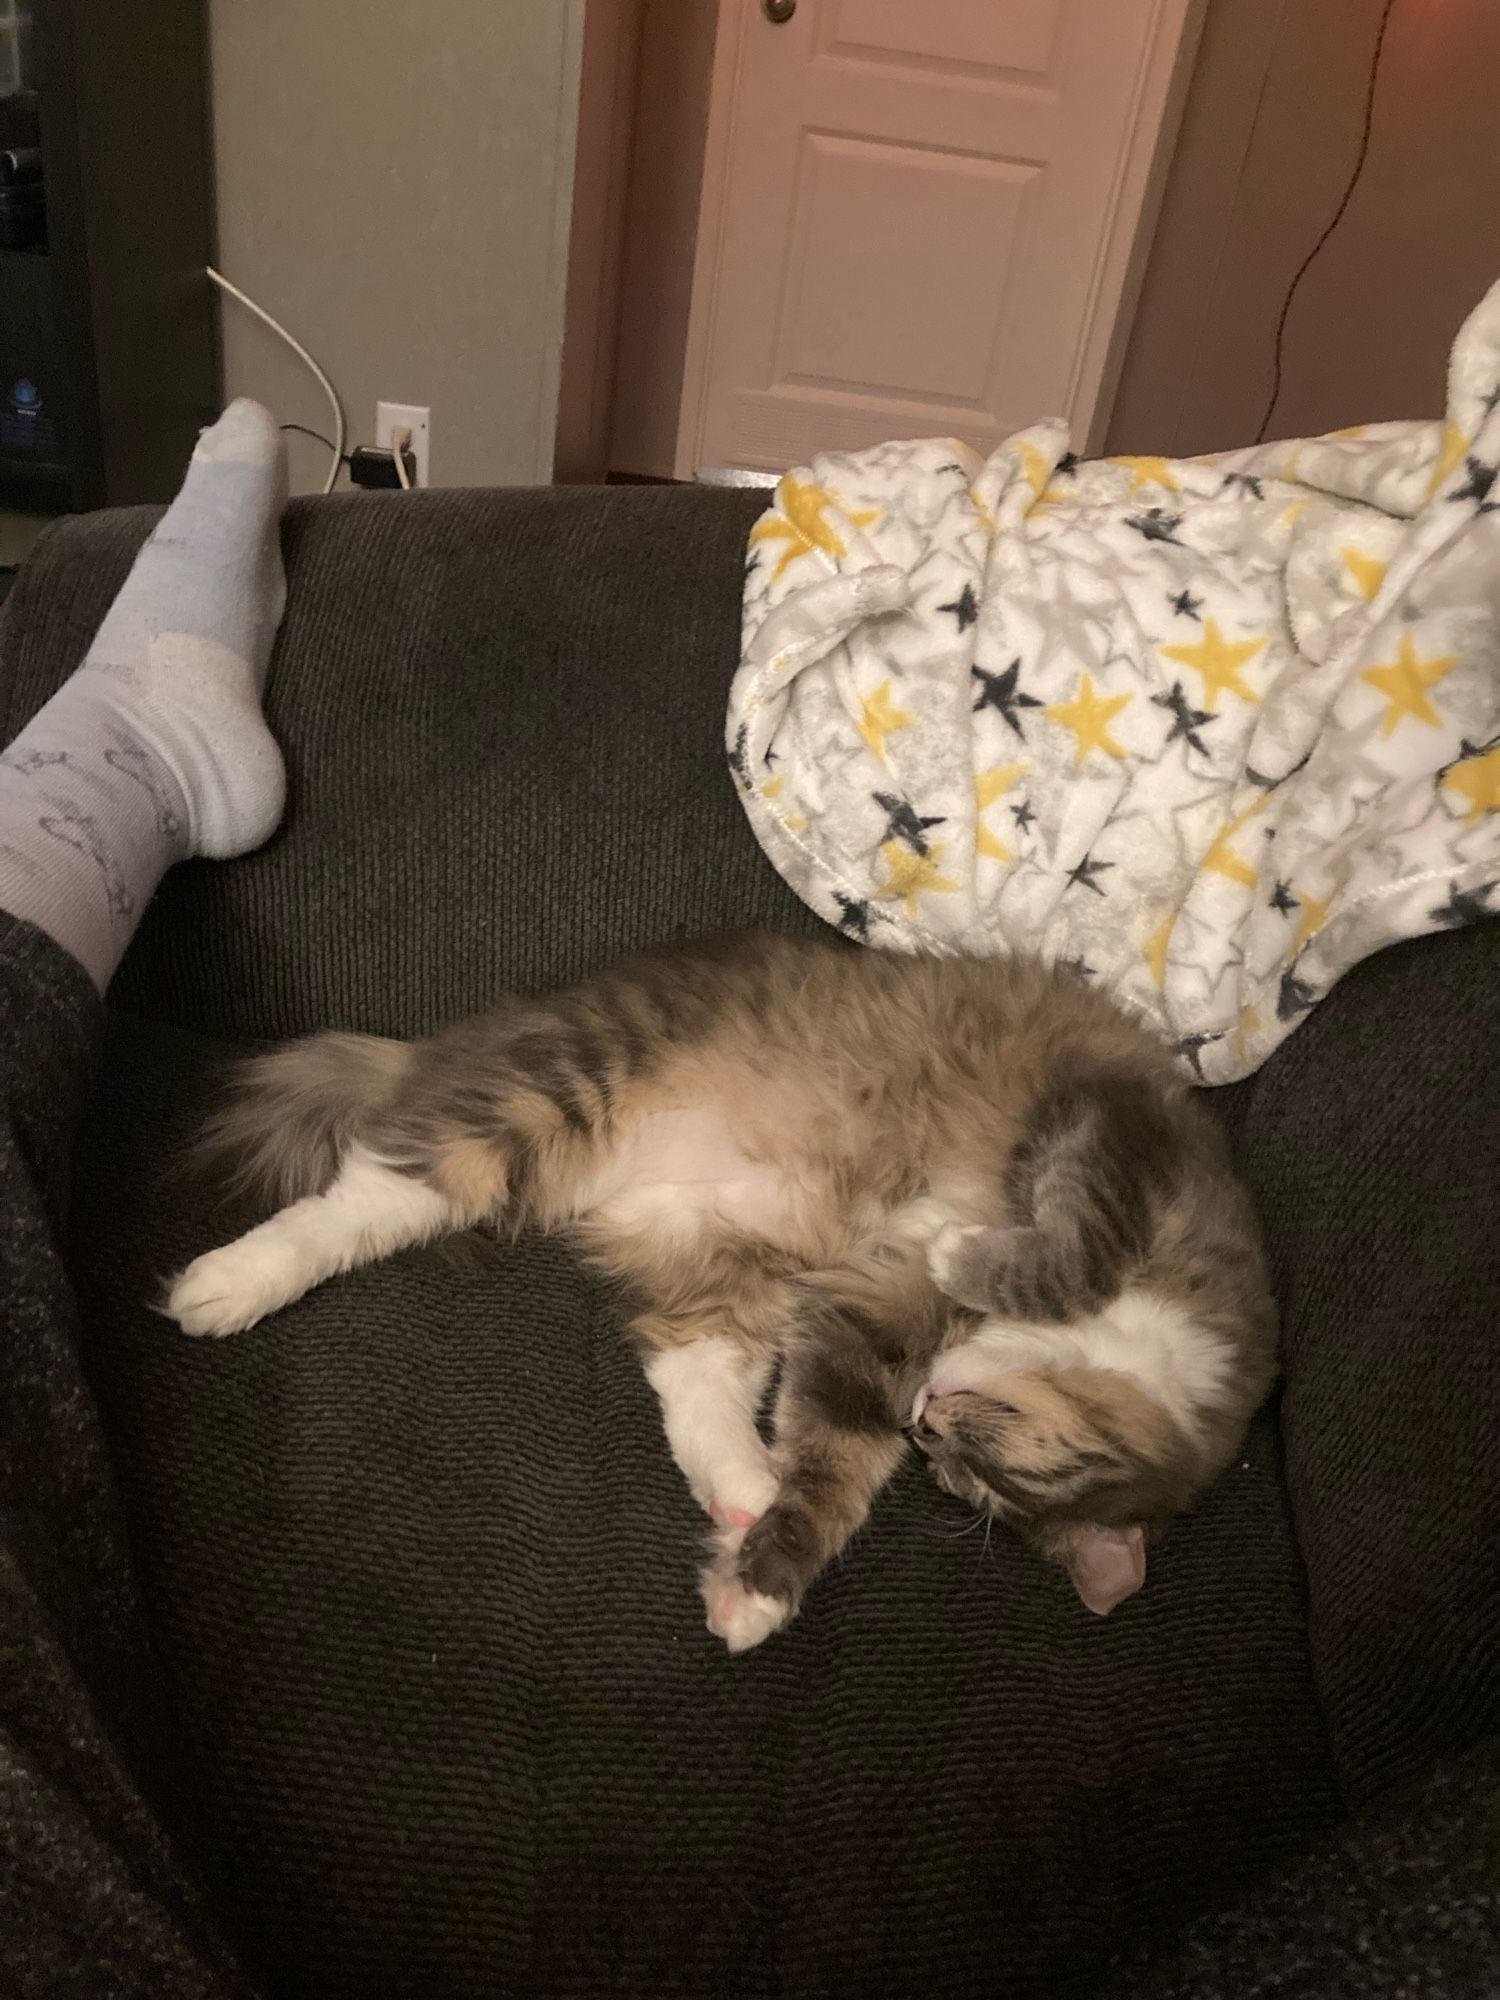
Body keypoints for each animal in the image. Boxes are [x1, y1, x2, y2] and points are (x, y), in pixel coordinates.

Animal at [173, 936, 1280, 1656]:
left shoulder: (866, 1311)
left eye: (968, 1475)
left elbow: (834, 1467)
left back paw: (743, 1487)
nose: (928, 1418)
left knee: (693, 1379)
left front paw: (753, 1586)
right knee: (367, 1192)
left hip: (732, 1262)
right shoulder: (1111, 1136)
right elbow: (1065, 1253)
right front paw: (968, 1247)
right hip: (553, 1095)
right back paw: (226, 1284)